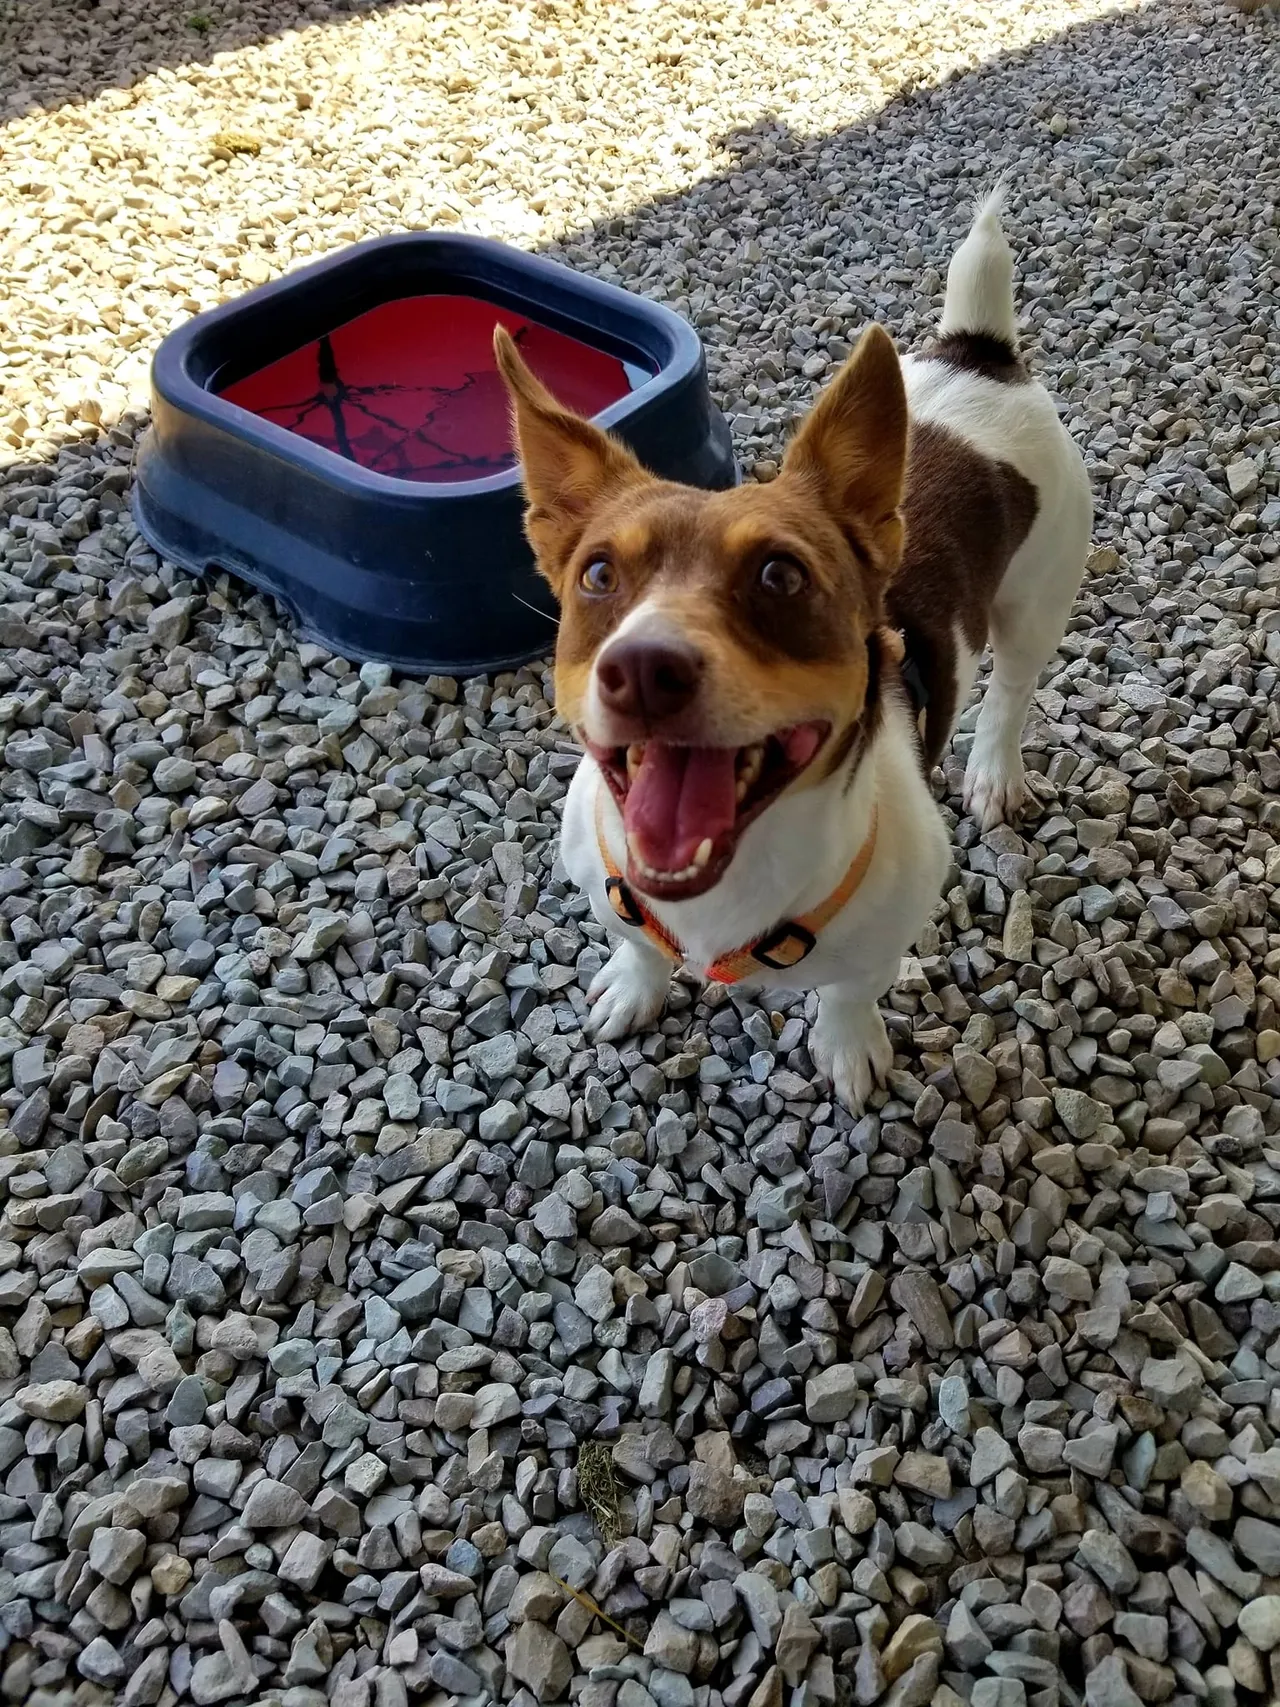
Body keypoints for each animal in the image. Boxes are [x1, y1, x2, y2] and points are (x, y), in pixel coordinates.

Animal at [494, 196, 1099, 1106]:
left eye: (781, 575)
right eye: (598, 573)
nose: (643, 668)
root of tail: (977, 353)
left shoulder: (883, 934)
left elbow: (849, 990)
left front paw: (848, 1047)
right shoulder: (609, 890)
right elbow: (637, 944)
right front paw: (635, 987)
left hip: (1039, 597)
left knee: (1011, 695)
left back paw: (996, 773)